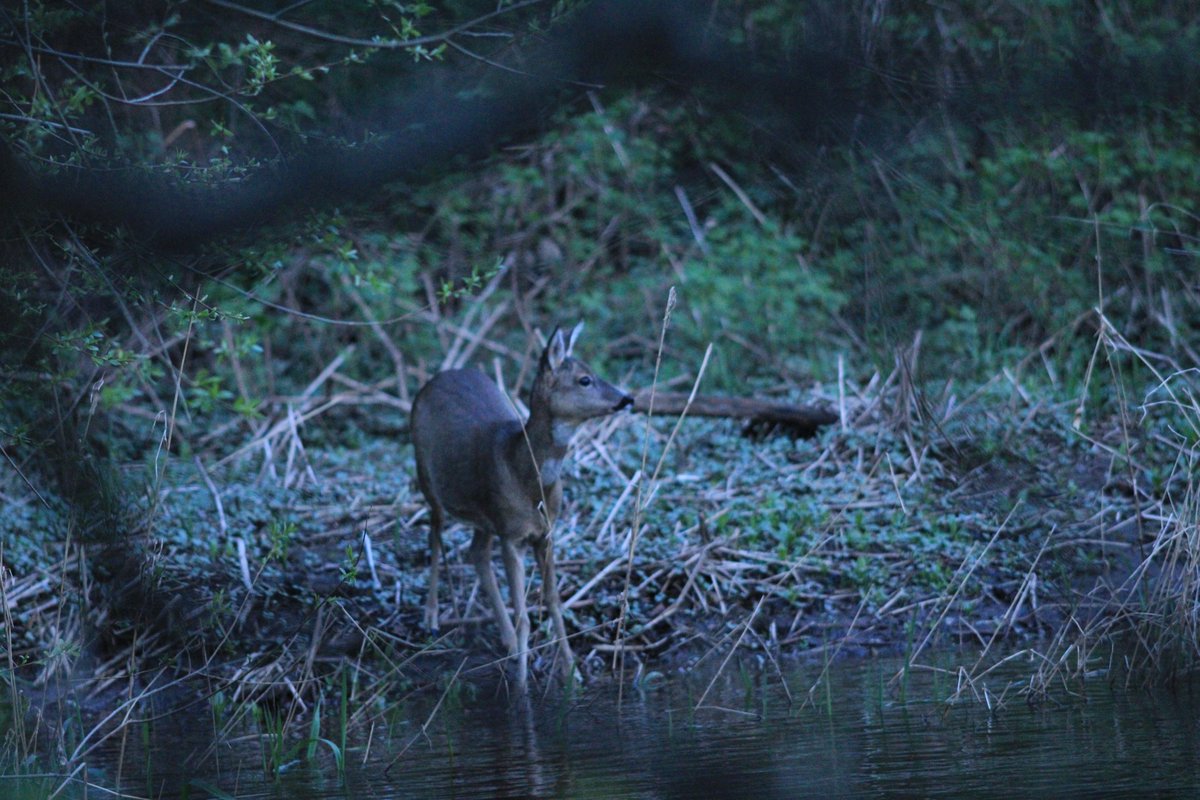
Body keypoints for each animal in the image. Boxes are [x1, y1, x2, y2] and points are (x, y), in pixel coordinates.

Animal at [412, 321, 633, 686]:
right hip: (425, 474)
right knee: (435, 533)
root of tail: (438, 377)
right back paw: (430, 619)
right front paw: (522, 683)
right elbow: (525, 616)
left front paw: (572, 672)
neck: (525, 475)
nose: (627, 398)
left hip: (485, 516)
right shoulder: (511, 535)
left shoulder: (544, 533)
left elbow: (554, 601)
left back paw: (508, 642)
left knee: (476, 552)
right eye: (584, 379)